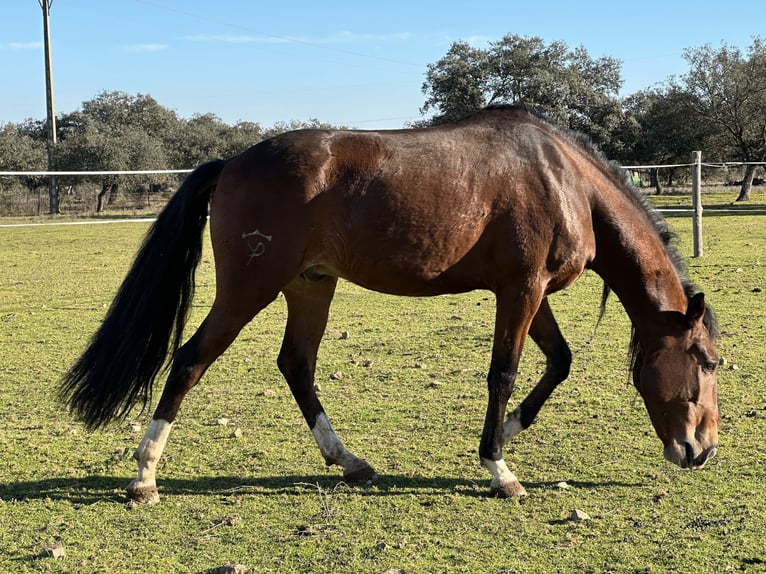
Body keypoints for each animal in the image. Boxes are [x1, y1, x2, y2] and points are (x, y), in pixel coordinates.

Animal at [58, 107, 720, 504]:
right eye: (707, 362)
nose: (702, 450)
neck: (564, 180)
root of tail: (232, 163)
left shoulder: (529, 292)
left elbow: (558, 362)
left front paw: (506, 433)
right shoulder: (522, 290)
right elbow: (504, 374)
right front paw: (499, 468)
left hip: (311, 286)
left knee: (296, 365)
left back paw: (349, 461)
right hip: (249, 288)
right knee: (191, 359)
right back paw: (144, 474)